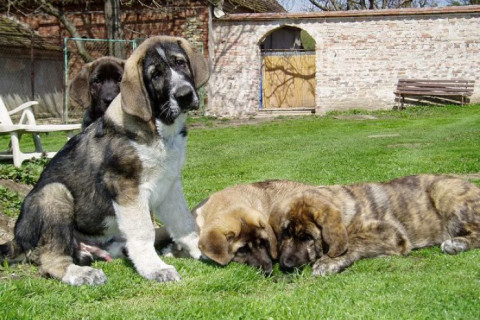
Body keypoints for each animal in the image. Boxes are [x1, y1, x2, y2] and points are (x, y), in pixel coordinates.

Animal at [0, 36, 210, 286]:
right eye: (155, 75)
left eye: (180, 63)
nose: (184, 95)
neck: (159, 129)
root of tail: (16, 239)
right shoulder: (127, 187)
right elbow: (143, 231)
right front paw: (155, 268)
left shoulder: (169, 185)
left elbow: (184, 222)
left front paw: (201, 249)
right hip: (54, 193)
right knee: (50, 259)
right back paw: (80, 273)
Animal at [270, 174, 480, 276]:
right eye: (285, 234)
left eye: (308, 237)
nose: (285, 265)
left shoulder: (391, 233)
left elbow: (354, 241)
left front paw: (327, 262)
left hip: (444, 190)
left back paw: (456, 244)